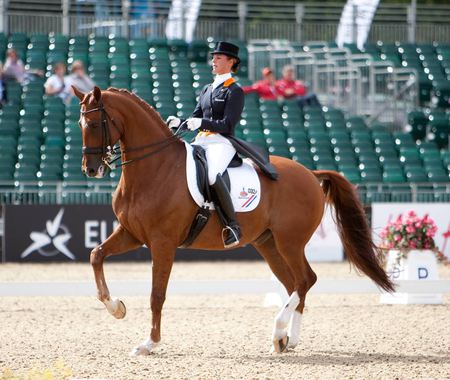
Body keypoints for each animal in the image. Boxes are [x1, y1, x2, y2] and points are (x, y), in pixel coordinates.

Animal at [74, 86, 394, 356]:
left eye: (94, 124)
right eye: (79, 124)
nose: (91, 169)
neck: (155, 168)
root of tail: (311, 173)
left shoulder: (162, 242)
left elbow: (157, 294)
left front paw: (149, 343)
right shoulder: (132, 234)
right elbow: (96, 255)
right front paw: (116, 307)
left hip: (290, 241)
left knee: (305, 280)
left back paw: (278, 331)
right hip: (269, 244)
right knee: (294, 283)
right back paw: (287, 339)